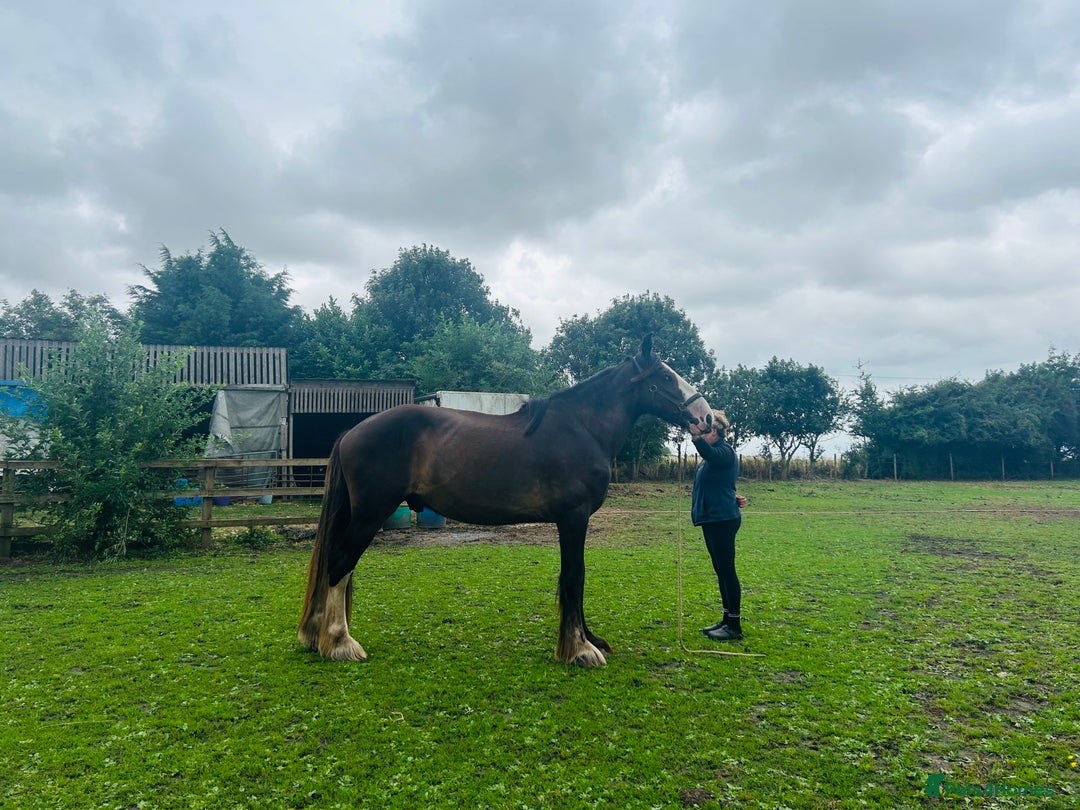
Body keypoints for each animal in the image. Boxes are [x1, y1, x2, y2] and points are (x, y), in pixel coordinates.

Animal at [297, 335, 714, 667]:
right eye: (665, 378)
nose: (707, 417)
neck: (581, 427)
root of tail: (352, 431)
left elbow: (574, 577)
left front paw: (589, 639)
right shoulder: (573, 518)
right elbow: (574, 576)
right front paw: (579, 649)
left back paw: (316, 636)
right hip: (370, 514)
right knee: (340, 564)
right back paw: (340, 643)